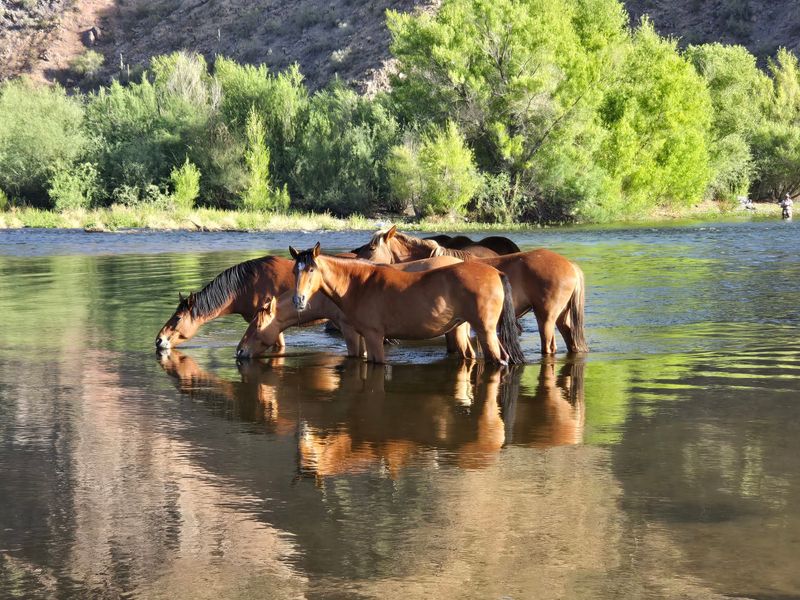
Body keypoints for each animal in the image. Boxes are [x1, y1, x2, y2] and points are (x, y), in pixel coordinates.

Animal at [288, 243, 525, 364]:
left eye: (311, 269)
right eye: (294, 270)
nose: (298, 300)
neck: (360, 283)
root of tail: (495, 272)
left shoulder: (374, 337)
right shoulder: (365, 337)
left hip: (486, 331)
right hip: (461, 328)